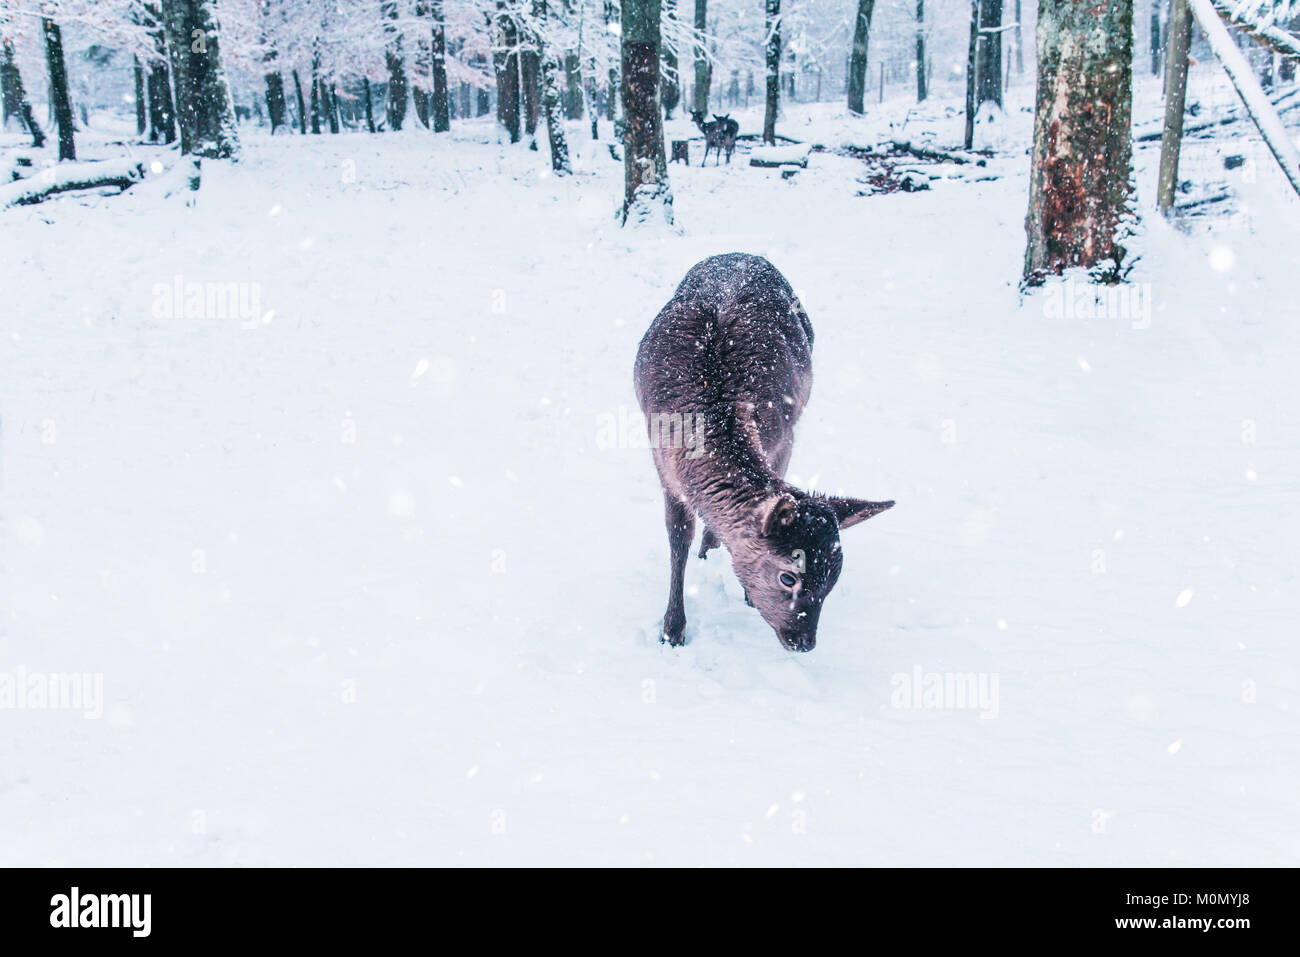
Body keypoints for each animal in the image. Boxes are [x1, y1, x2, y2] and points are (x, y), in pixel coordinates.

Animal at [629, 250, 894, 655]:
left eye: (833, 579)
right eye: (788, 576)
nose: (804, 643)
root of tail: (742, 254)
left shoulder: (782, 441)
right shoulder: (663, 463)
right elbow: (678, 539)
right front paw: (672, 630)